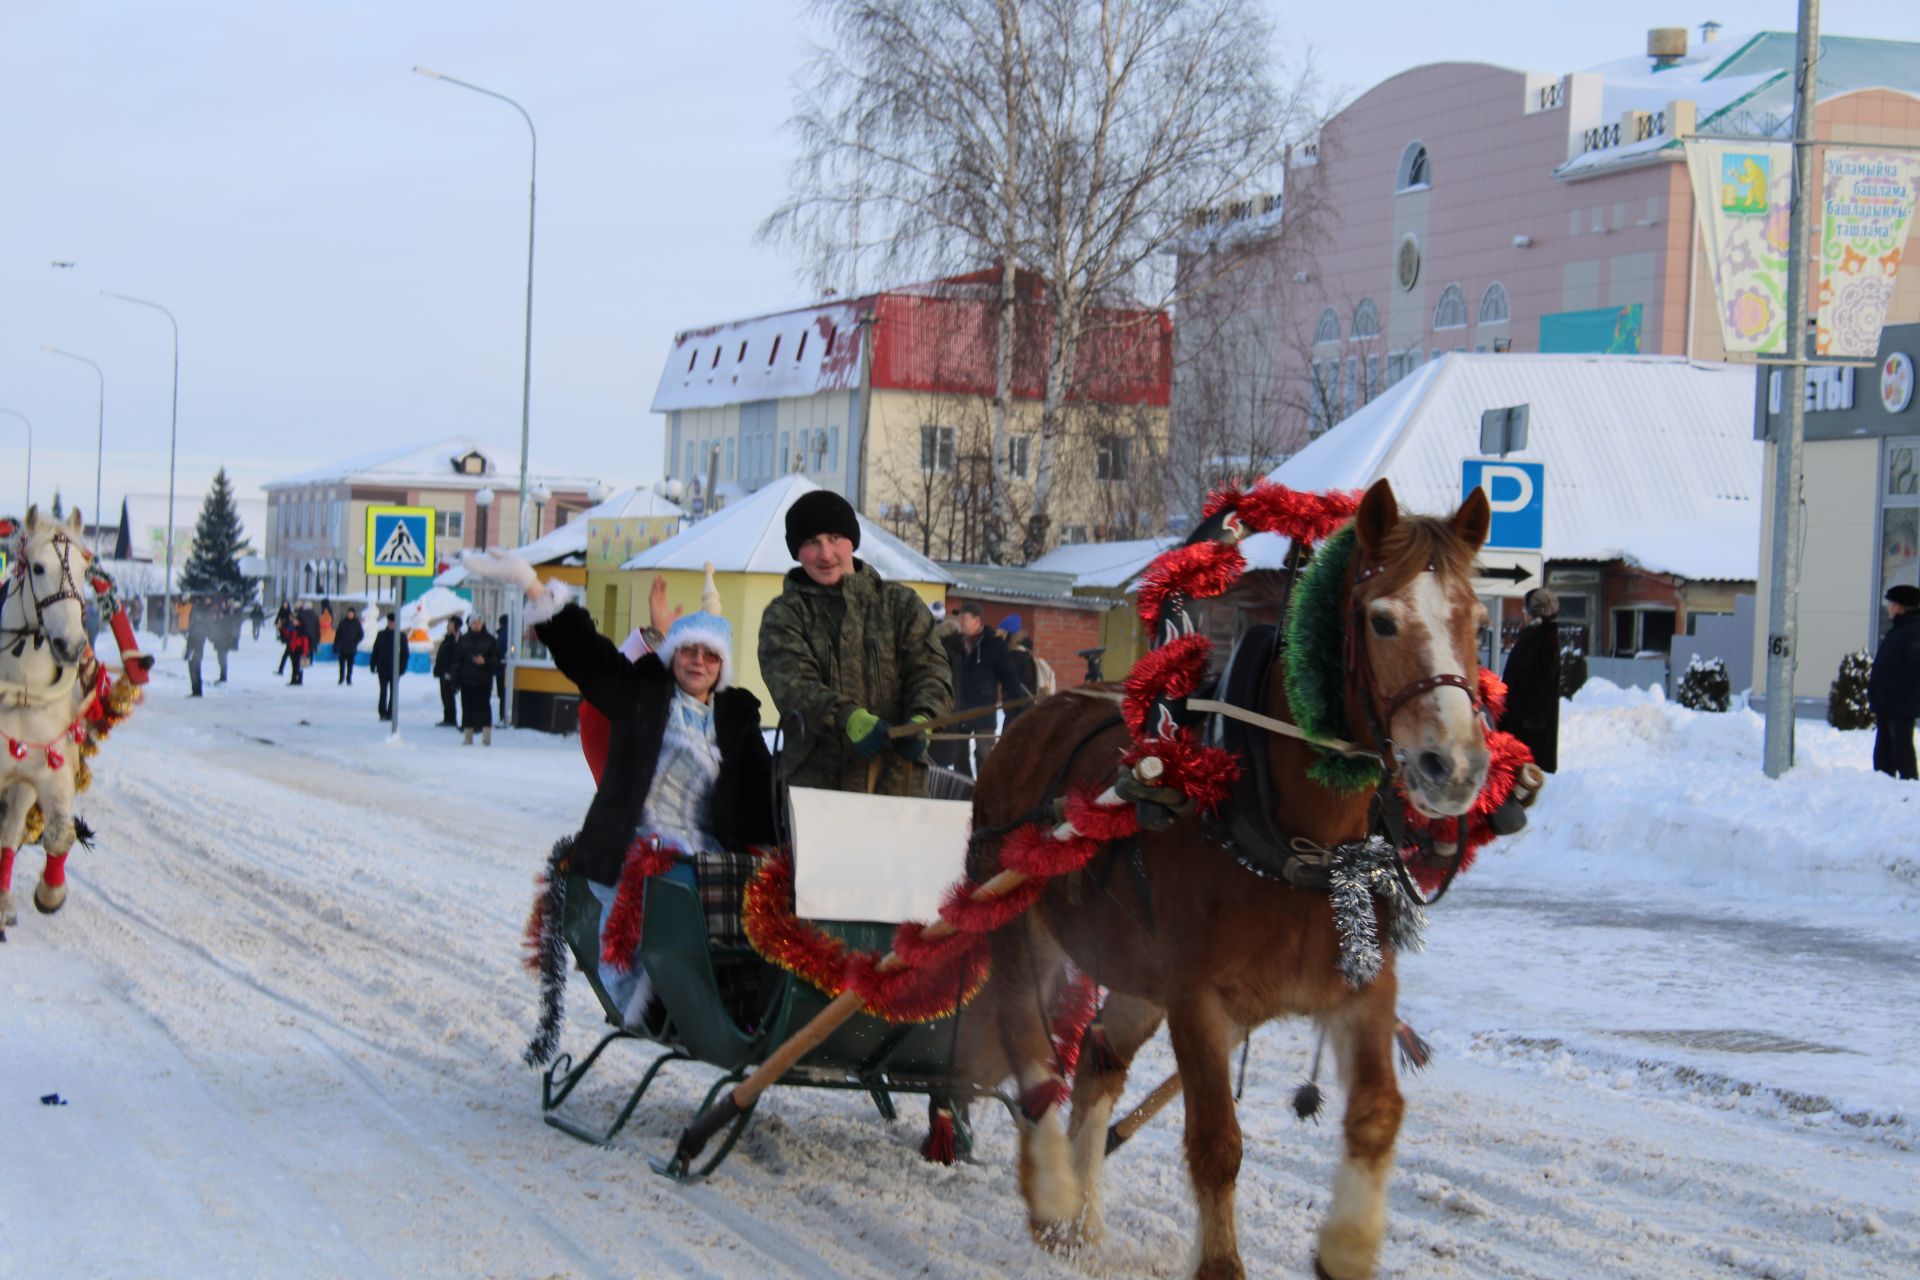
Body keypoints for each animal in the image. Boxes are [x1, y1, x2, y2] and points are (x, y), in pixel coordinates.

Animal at [967, 479, 1489, 1280]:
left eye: (1479, 621)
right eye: (1382, 620)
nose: (1454, 767)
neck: (1296, 844)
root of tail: (1034, 714)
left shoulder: (1362, 988)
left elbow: (1376, 1114)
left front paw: (1346, 1246)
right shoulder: (1198, 1001)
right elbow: (1217, 1143)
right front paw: (1220, 1263)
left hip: (1136, 976)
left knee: (1099, 1059)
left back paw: (1082, 1215)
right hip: (1021, 920)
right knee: (1029, 1046)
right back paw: (1055, 1194)